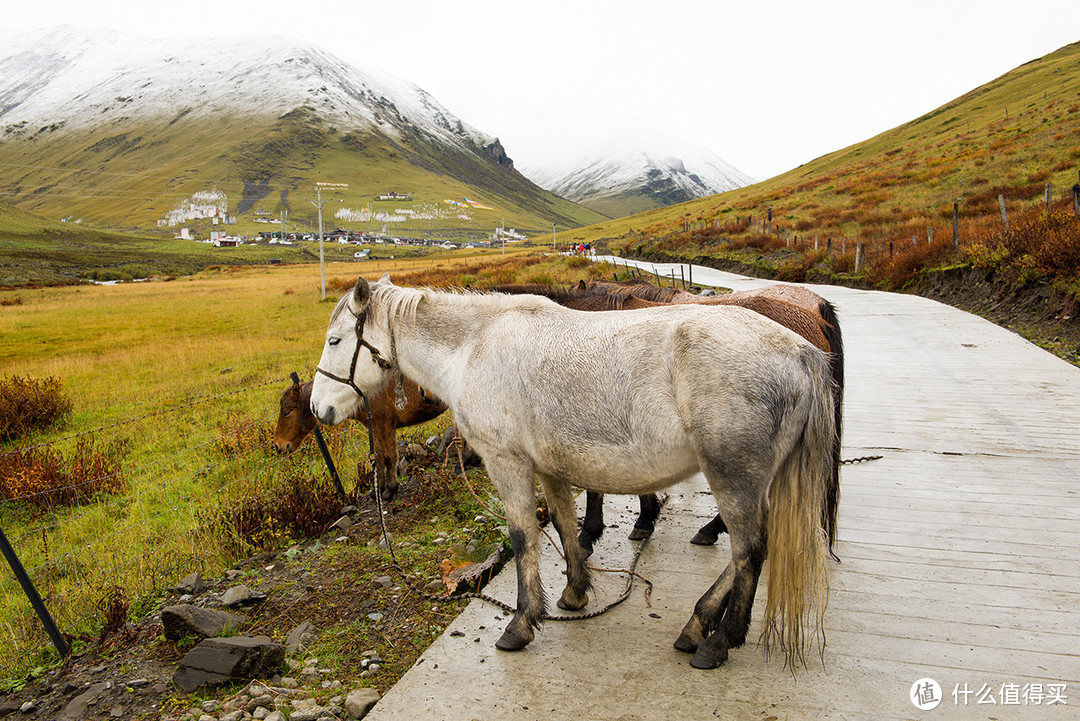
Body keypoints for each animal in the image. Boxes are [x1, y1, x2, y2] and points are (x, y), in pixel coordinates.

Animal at [278, 375, 451, 498]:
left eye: (286, 412)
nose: (278, 446)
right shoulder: (375, 428)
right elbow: (378, 458)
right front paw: (378, 490)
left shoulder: (384, 425)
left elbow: (389, 457)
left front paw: (390, 490)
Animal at [313, 278, 833, 669]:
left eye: (335, 341)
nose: (319, 409)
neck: (474, 347)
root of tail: (802, 352)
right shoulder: (549, 468)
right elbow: (565, 527)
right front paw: (575, 594)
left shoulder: (508, 463)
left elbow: (524, 537)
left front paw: (521, 624)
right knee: (749, 549)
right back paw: (696, 626)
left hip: (733, 476)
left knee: (749, 550)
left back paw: (718, 641)